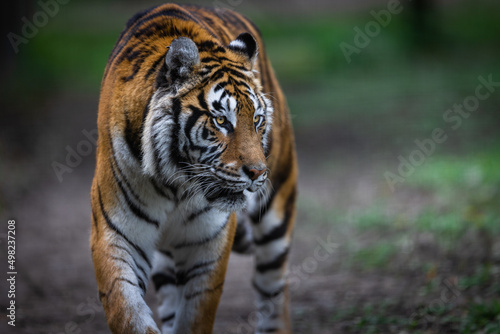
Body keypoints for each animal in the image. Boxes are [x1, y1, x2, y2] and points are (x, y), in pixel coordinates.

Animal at [91, 3, 296, 334]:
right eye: (221, 121)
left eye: (257, 120)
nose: (257, 173)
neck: (173, 183)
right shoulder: (116, 235)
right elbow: (126, 310)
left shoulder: (208, 242)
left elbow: (196, 314)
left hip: (276, 216)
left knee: (273, 292)